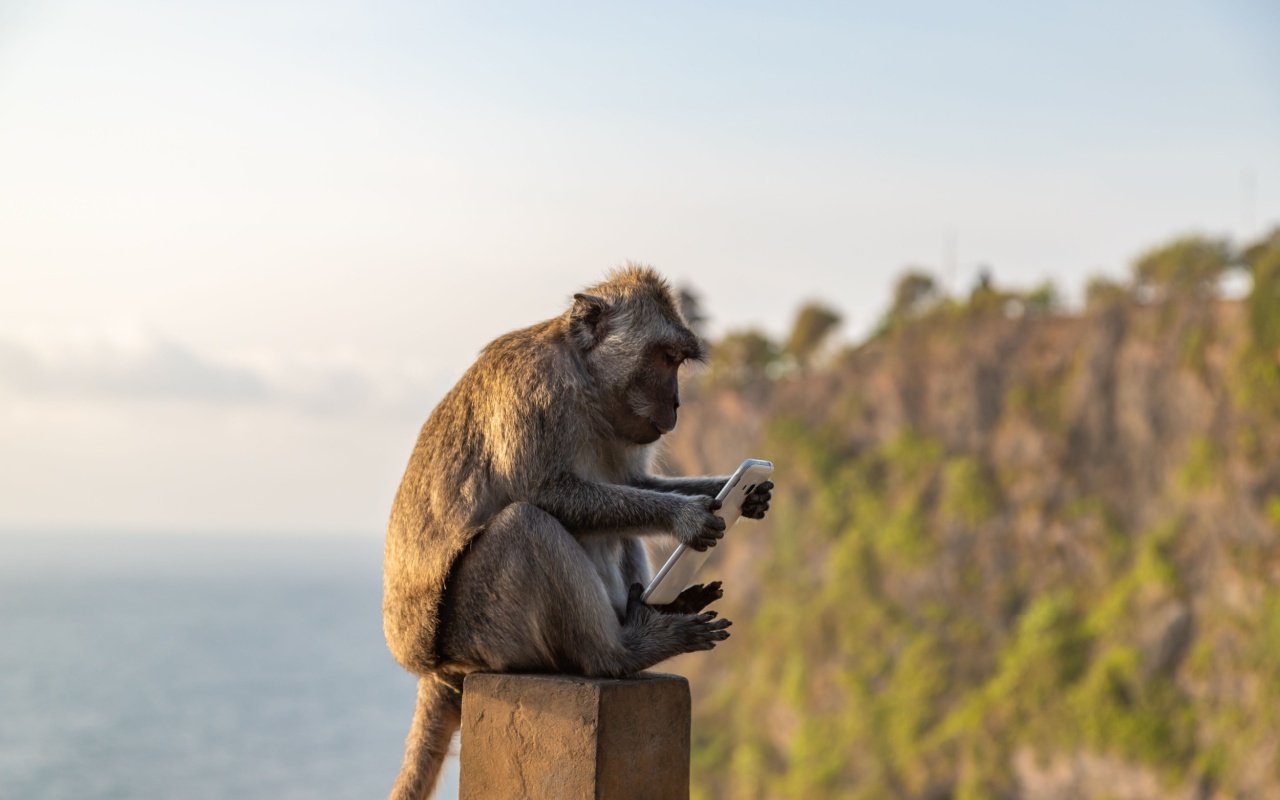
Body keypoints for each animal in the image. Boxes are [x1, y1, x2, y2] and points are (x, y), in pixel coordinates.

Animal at [381, 265, 773, 800]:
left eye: (678, 361)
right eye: (664, 358)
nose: (676, 402)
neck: (585, 383)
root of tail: (434, 670)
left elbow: (634, 486)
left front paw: (739, 492)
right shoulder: (533, 390)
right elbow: (541, 490)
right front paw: (685, 516)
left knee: (617, 530)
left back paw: (655, 611)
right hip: (481, 635)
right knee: (524, 525)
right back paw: (620, 653)